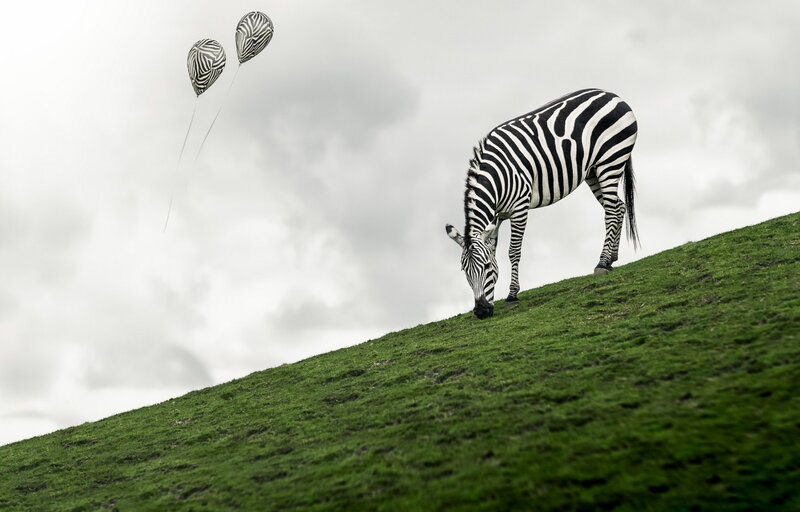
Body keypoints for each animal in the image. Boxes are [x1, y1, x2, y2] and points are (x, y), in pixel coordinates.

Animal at [445, 89, 639, 319]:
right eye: (465, 271)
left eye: (485, 267)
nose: (481, 311)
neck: (497, 177)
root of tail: (612, 94)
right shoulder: (497, 216)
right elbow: (494, 250)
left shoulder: (519, 207)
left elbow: (513, 251)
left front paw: (512, 295)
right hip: (592, 171)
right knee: (618, 207)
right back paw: (611, 259)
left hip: (610, 161)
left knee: (610, 211)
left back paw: (602, 263)